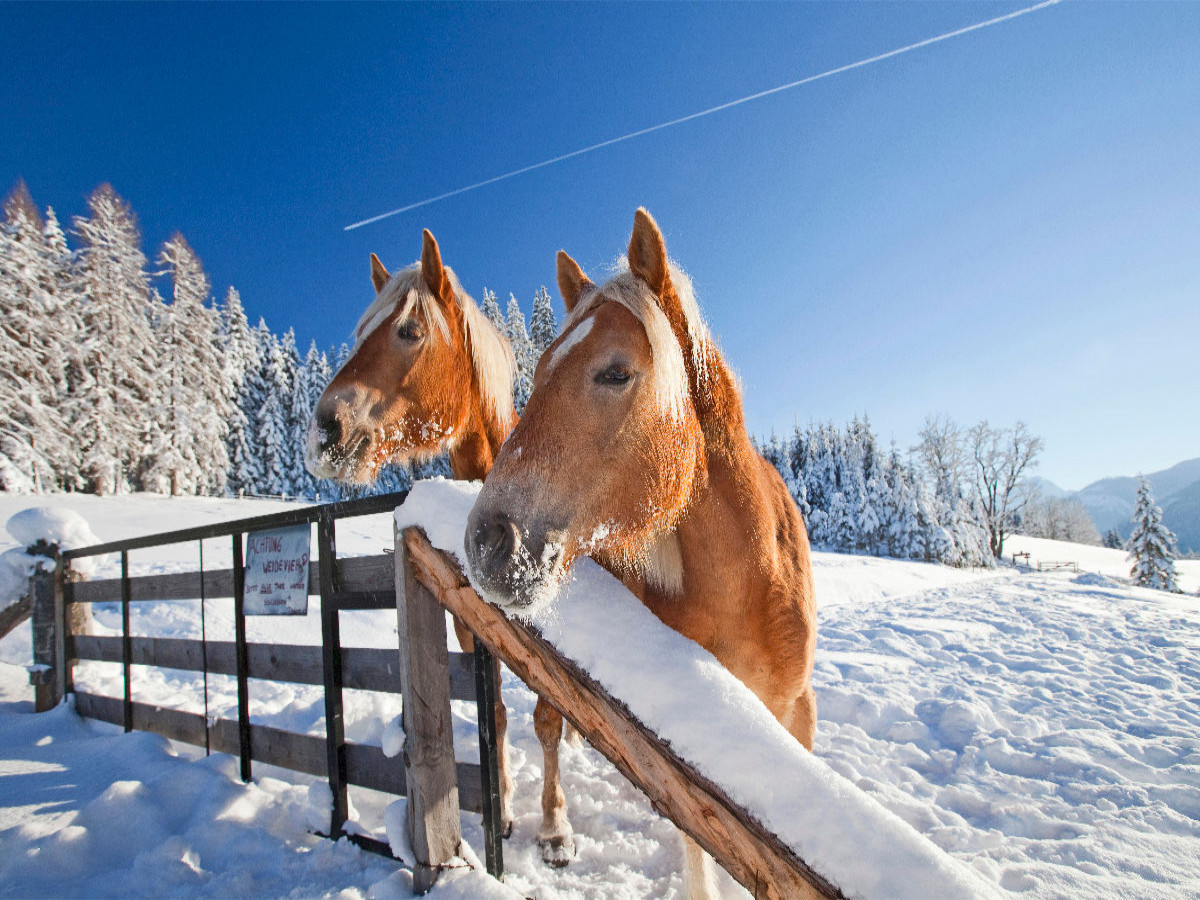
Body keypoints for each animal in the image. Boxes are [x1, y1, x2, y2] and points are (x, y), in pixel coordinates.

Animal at [463, 210, 820, 897]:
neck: (749, 589)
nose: (487, 540)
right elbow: (700, 855)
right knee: (539, 724)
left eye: (615, 372)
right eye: (537, 373)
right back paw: (551, 830)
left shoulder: (797, 718)